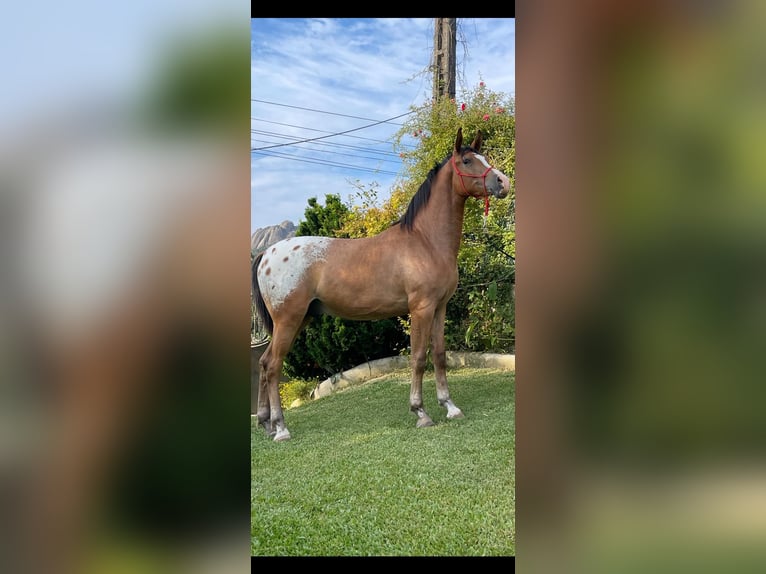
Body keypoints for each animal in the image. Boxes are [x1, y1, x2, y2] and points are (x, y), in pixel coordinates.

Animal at [252, 127, 511, 441]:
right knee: (273, 366)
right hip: (288, 320)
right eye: (467, 161)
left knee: (264, 363)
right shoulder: (421, 309)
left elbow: (439, 355)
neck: (425, 241)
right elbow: (419, 358)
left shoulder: (439, 308)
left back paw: (266, 423)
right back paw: (281, 428)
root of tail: (267, 254)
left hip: (299, 319)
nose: (503, 182)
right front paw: (421, 412)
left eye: (483, 157)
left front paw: (450, 406)